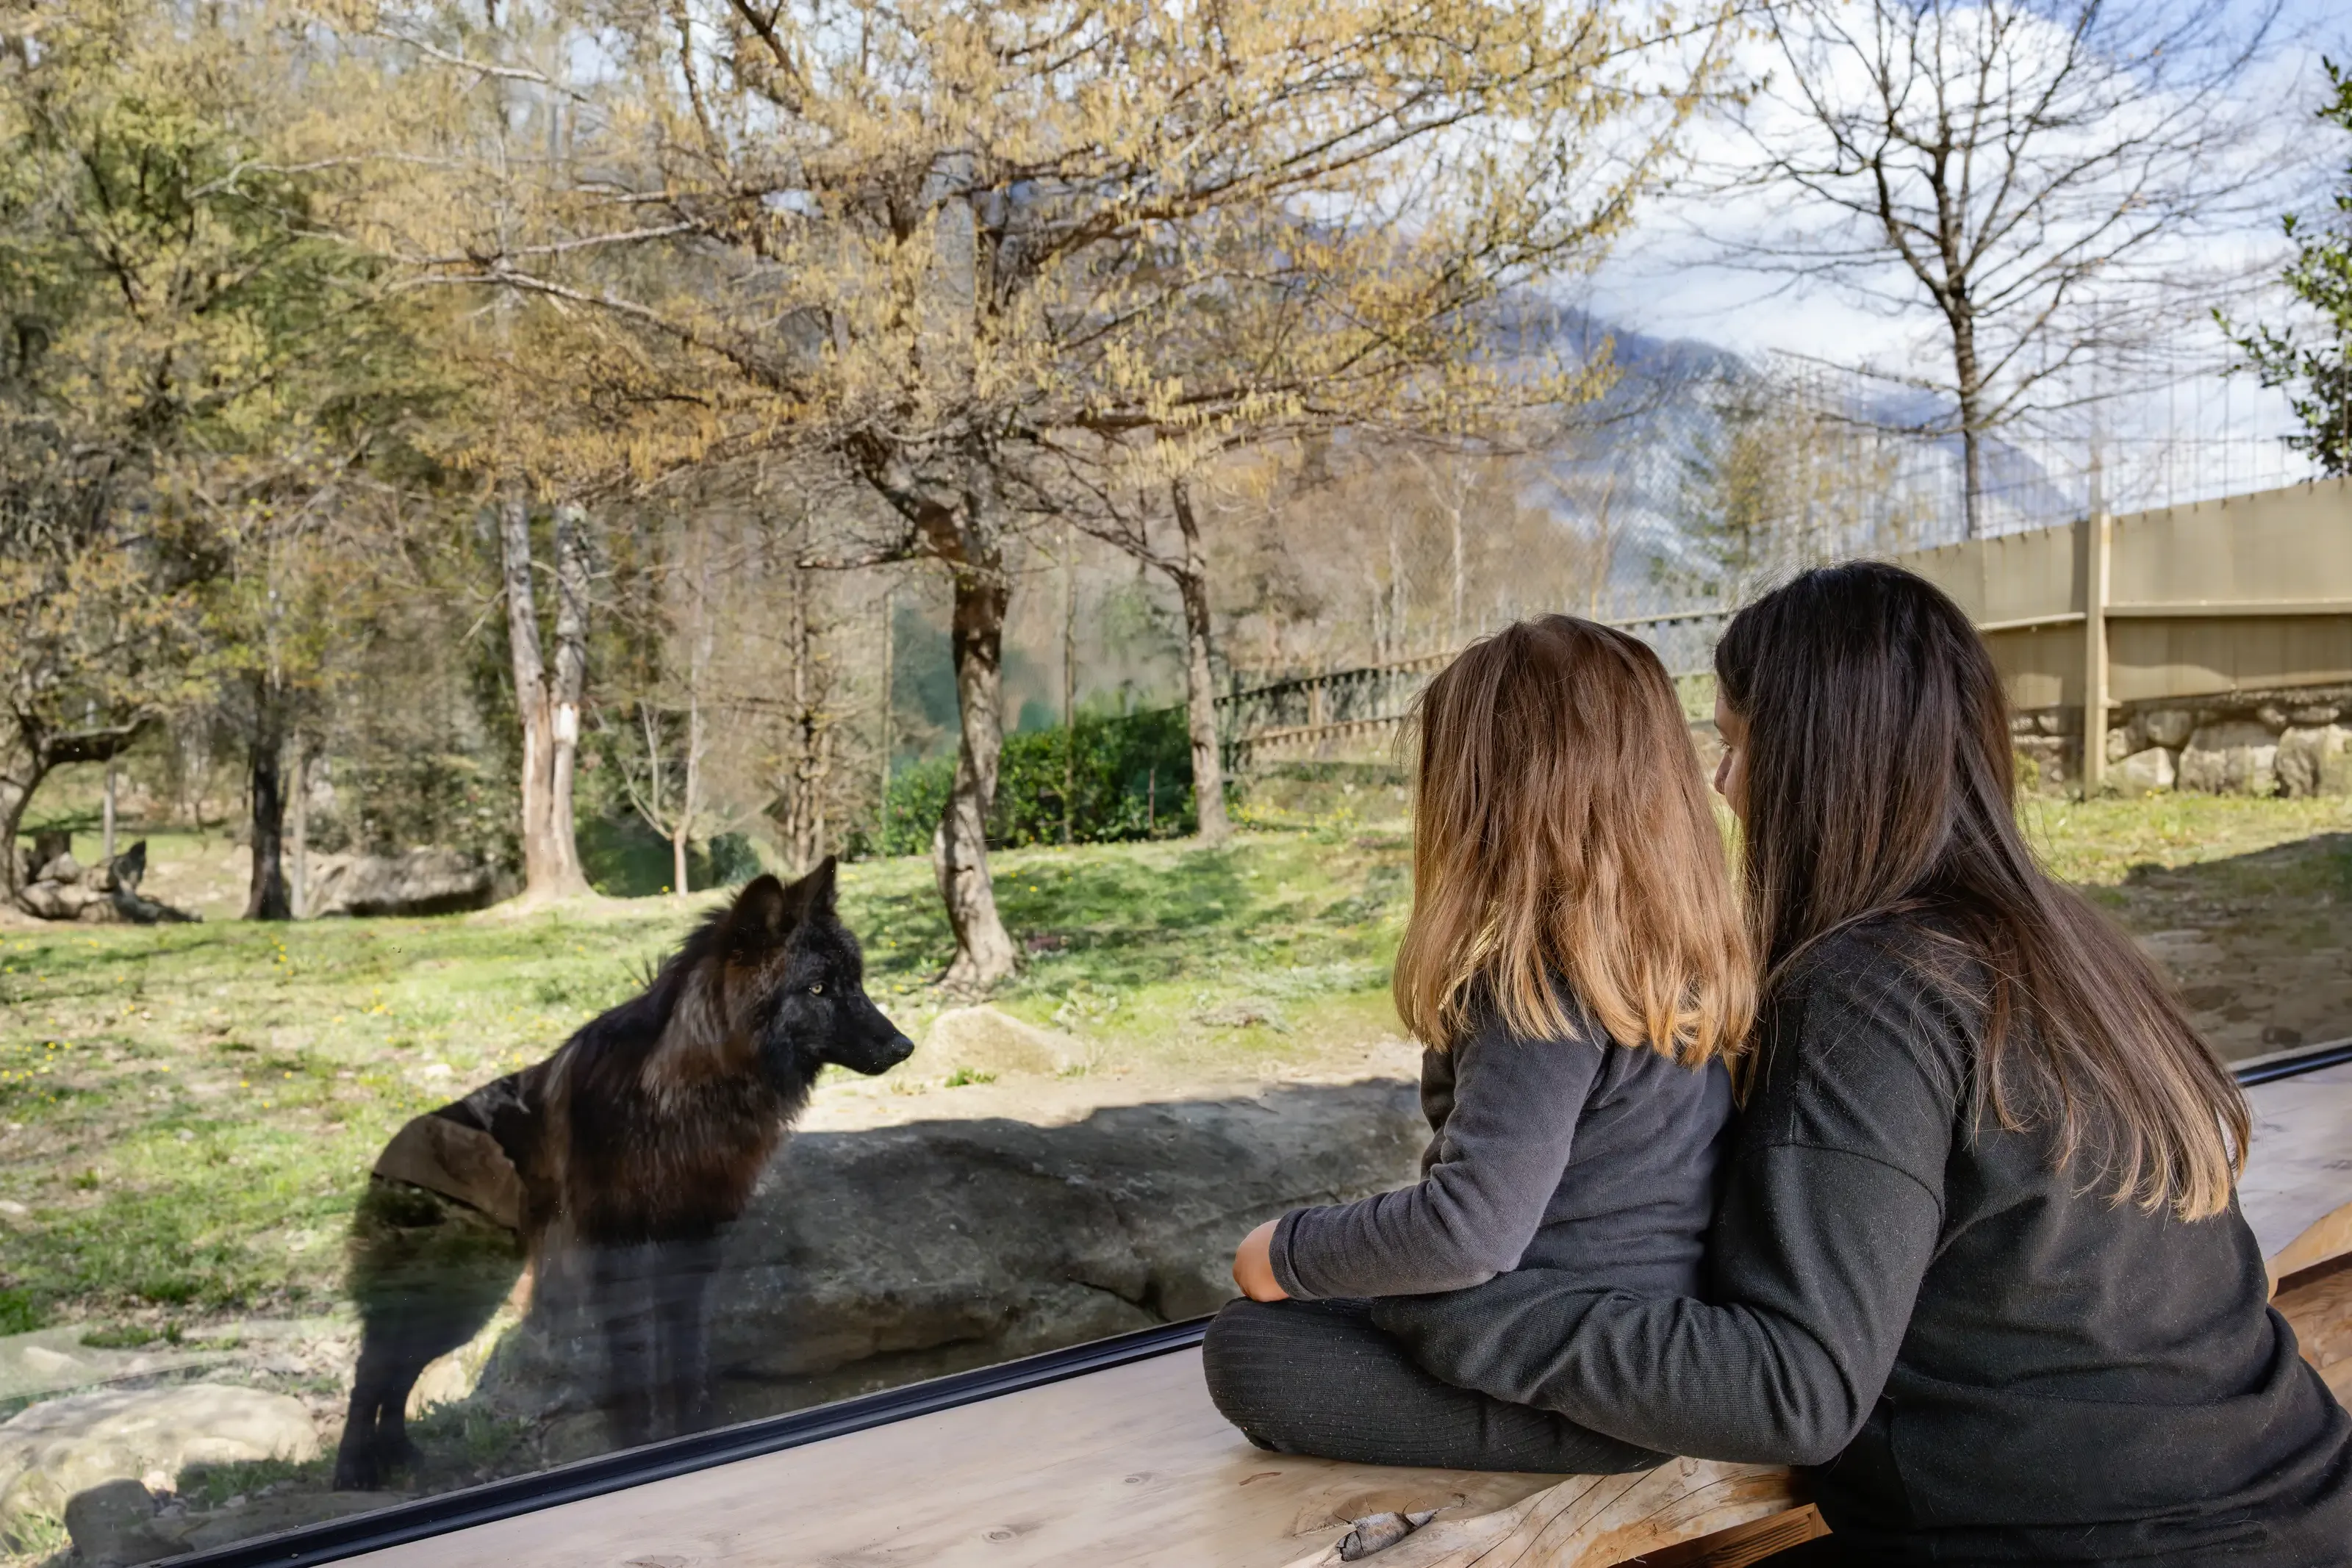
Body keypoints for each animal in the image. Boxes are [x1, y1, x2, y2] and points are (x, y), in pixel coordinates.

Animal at [332, 859, 912, 1488]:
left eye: (856, 981)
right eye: (818, 989)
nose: (904, 1046)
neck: (686, 1095)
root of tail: (387, 1152)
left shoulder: (694, 1243)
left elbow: (686, 1355)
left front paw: (689, 1432)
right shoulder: (616, 1250)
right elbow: (631, 1365)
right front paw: (636, 1444)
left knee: (397, 1368)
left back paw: (397, 1454)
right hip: (455, 1300)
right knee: (374, 1365)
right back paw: (354, 1467)